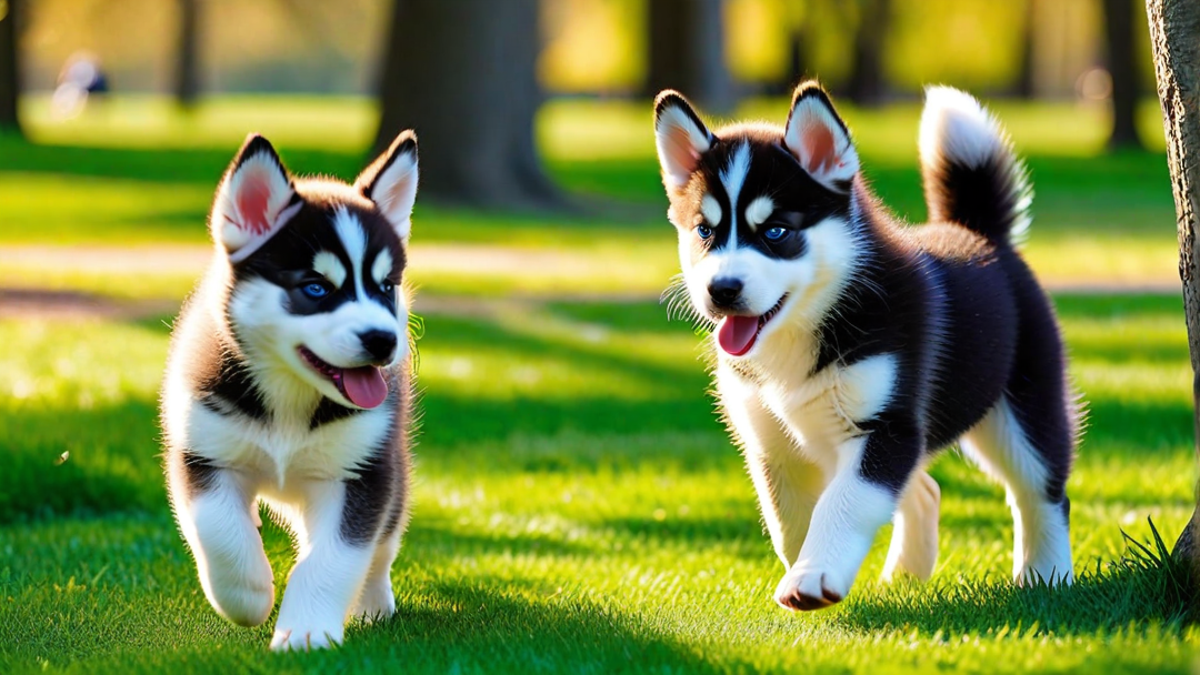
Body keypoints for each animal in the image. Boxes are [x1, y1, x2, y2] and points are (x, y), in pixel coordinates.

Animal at [159, 130, 422, 648]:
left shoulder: (364, 472)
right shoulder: (203, 452)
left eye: (386, 287)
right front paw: (248, 595)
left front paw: (306, 633)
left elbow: (335, 559)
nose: (384, 340)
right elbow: (219, 529)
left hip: (393, 469)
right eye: (316, 288)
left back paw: (372, 603)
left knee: (383, 544)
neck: (290, 397)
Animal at [657, 81, 1080, 607]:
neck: (802, 332)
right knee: (927, 490)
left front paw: (814, 576)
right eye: (705, 231)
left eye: (776, 231)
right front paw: (808, 566)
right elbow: (788, 521)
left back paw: (1046, 575)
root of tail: (979, 233)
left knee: (1041, 490)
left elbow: (843, 503)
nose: (721, 290)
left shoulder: (886, 426)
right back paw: (906, 577)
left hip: (1023, 407)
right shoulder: (770, 442)